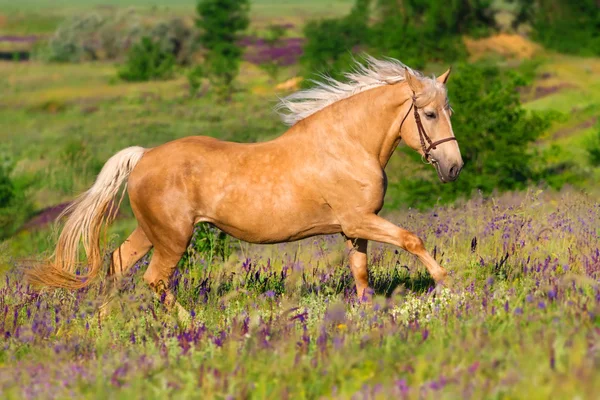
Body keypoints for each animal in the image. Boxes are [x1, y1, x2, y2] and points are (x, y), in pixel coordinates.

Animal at [24, 56, 464, 320]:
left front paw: (367, 313)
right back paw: (188, 323)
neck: (349, 144)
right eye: (428, 113)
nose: (454, 167)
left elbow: (360, 274)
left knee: (117, 264)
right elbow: (412, 240)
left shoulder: (354, 228)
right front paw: (446, 285)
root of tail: (143, 156)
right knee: (153, 278)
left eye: (449, 110)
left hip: (151, 232)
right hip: (173, 237)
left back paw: (102, 323)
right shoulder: (360, 221)